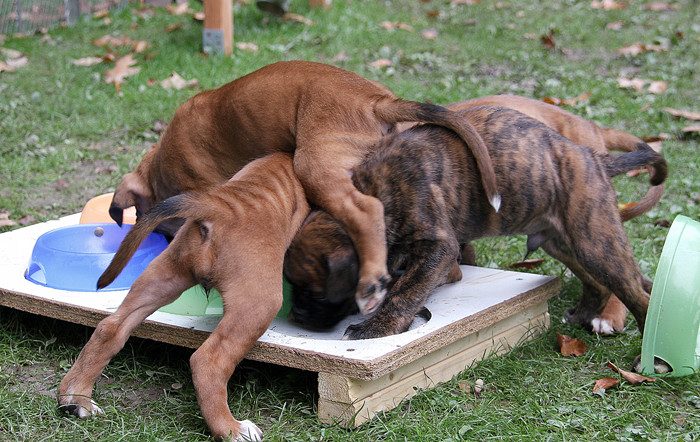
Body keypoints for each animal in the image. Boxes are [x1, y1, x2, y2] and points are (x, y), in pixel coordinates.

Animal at [58, 154, 310, 440]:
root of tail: (219, 206)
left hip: (161, 278)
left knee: (110, 329)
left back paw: (76, 399)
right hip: (259, 303)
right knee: (208, 361)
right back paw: (231, 428)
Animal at [284, 106, 668, 338]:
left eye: (317, 294)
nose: (298, 316)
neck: (373, 191)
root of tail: (593, 157)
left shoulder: (438, 248)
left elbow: (404, 292)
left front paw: (378, 328)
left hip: (594, 241)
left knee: (634, 292)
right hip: (561, 243)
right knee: (599, 283)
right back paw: (581, 314)